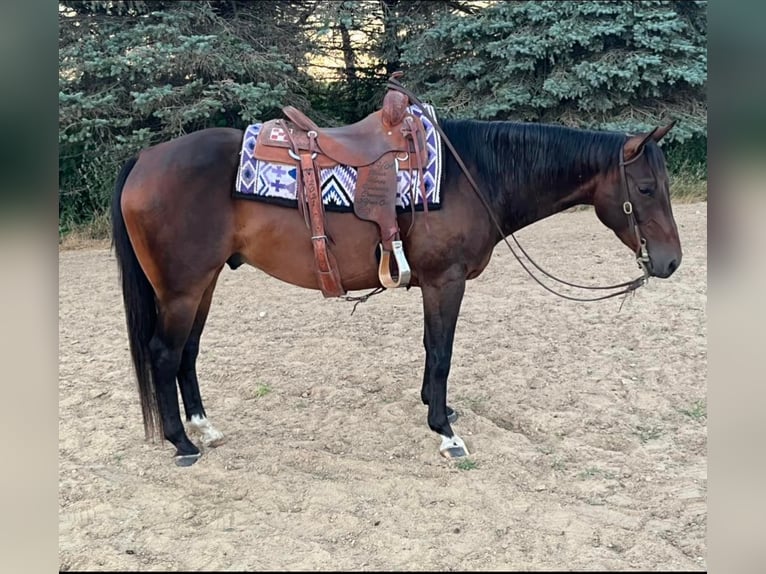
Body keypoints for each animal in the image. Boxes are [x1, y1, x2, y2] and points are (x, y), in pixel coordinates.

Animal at [109, 110, 684, 466]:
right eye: (646, 188)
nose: (672, 261)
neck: (473, 174)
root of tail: (145, 159)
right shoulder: (445, 282)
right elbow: (442, 351)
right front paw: (445, 432)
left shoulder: (437, 284)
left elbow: (431, 349)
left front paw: (438, 409)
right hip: (182, 290)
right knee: (164, 353)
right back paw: (181, 442)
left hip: (201, 285)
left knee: (187, 352)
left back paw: (203, 427)